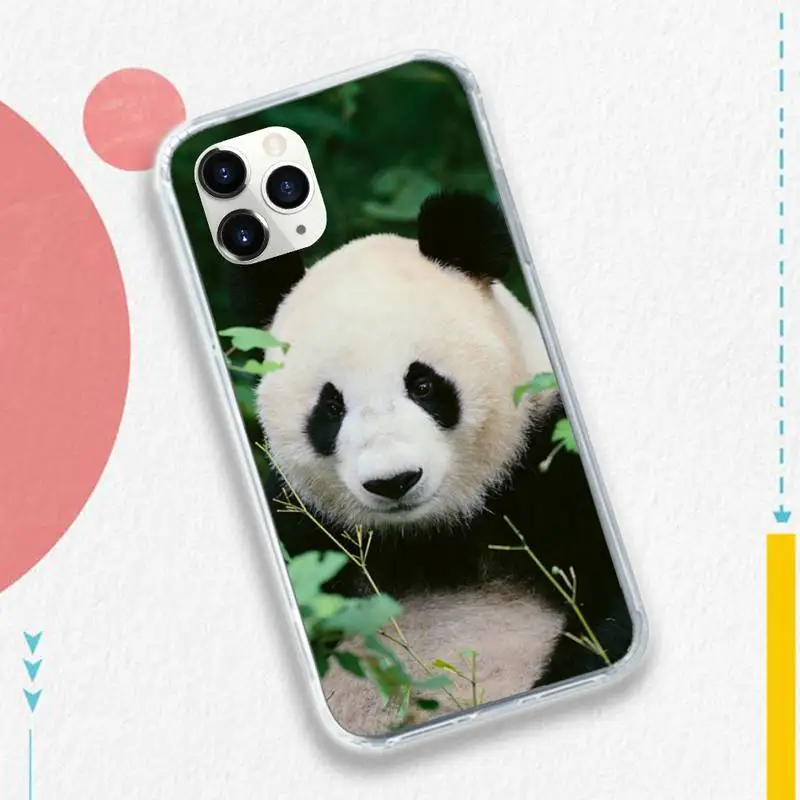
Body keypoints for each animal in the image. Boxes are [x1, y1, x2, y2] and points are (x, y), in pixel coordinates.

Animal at [225, 190, 633, 736]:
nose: (394, 481)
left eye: (422, 385)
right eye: (330, 408)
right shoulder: (307, 529)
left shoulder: (552, 468)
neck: (433, 538)